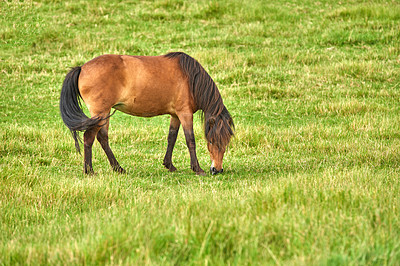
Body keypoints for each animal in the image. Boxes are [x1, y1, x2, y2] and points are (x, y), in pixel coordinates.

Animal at [59, 52, 234, 176]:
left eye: (226, 143)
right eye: (213, 141)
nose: (217, 170)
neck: (190, 79)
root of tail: (82, 68)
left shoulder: (175, 115)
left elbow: (171, 138)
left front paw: (169, 165)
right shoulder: (185, 113)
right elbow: (190, 140)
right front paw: (197, 169)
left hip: (104, 114)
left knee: (102, 138)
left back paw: (118, 168)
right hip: (100, 114)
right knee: (89, 137)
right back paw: (90, 171)